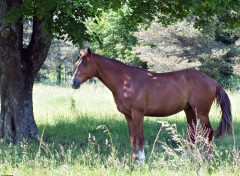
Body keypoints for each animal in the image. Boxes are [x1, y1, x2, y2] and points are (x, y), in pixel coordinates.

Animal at [71, 47, 232, 160]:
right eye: (77, 63)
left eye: (85, 64)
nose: (74, 82)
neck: (126, 82)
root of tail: (212, 81)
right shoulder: (128, 116)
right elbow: (132, 138)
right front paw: (134, 160)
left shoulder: (138, 114)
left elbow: (140, 137)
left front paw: (142, 160)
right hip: (190, 111)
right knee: (192, 134)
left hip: (202, 113)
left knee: (209, 133)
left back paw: (207, 158)